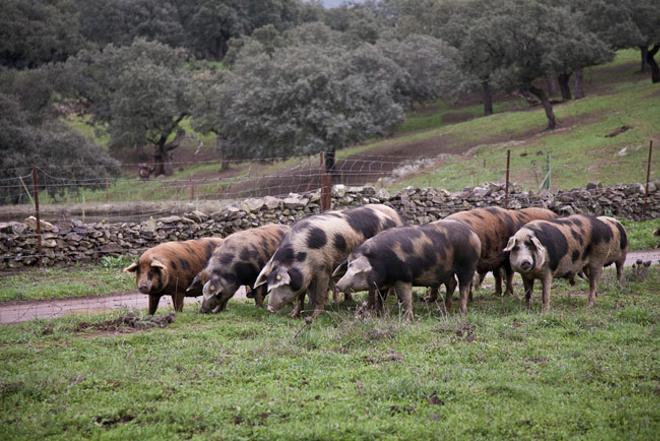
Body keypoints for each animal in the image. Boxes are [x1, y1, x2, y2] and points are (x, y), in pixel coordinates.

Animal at [255, 203, 404, 320]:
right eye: (269, 284)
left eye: (282, 285)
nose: (270, 308)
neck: (303, 256)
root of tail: (392, 220)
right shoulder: (304, 276)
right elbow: (300, 295)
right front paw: (293, 315)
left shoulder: (324, 268)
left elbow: (320, 293)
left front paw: (314, 317)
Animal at [336, 219, 480, 316]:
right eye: (348, 267)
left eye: (358, 272)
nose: (337, 285)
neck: (379, 262)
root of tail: (473, 234)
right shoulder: (384, 283)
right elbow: (381, 298)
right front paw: (379, 315)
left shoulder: (404, 277)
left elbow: (406, 299)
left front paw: (407, 320)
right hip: (446, 270)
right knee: (452, 283)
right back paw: (445, 310)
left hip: (468, 265)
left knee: (464, 287)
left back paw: (462, 313)